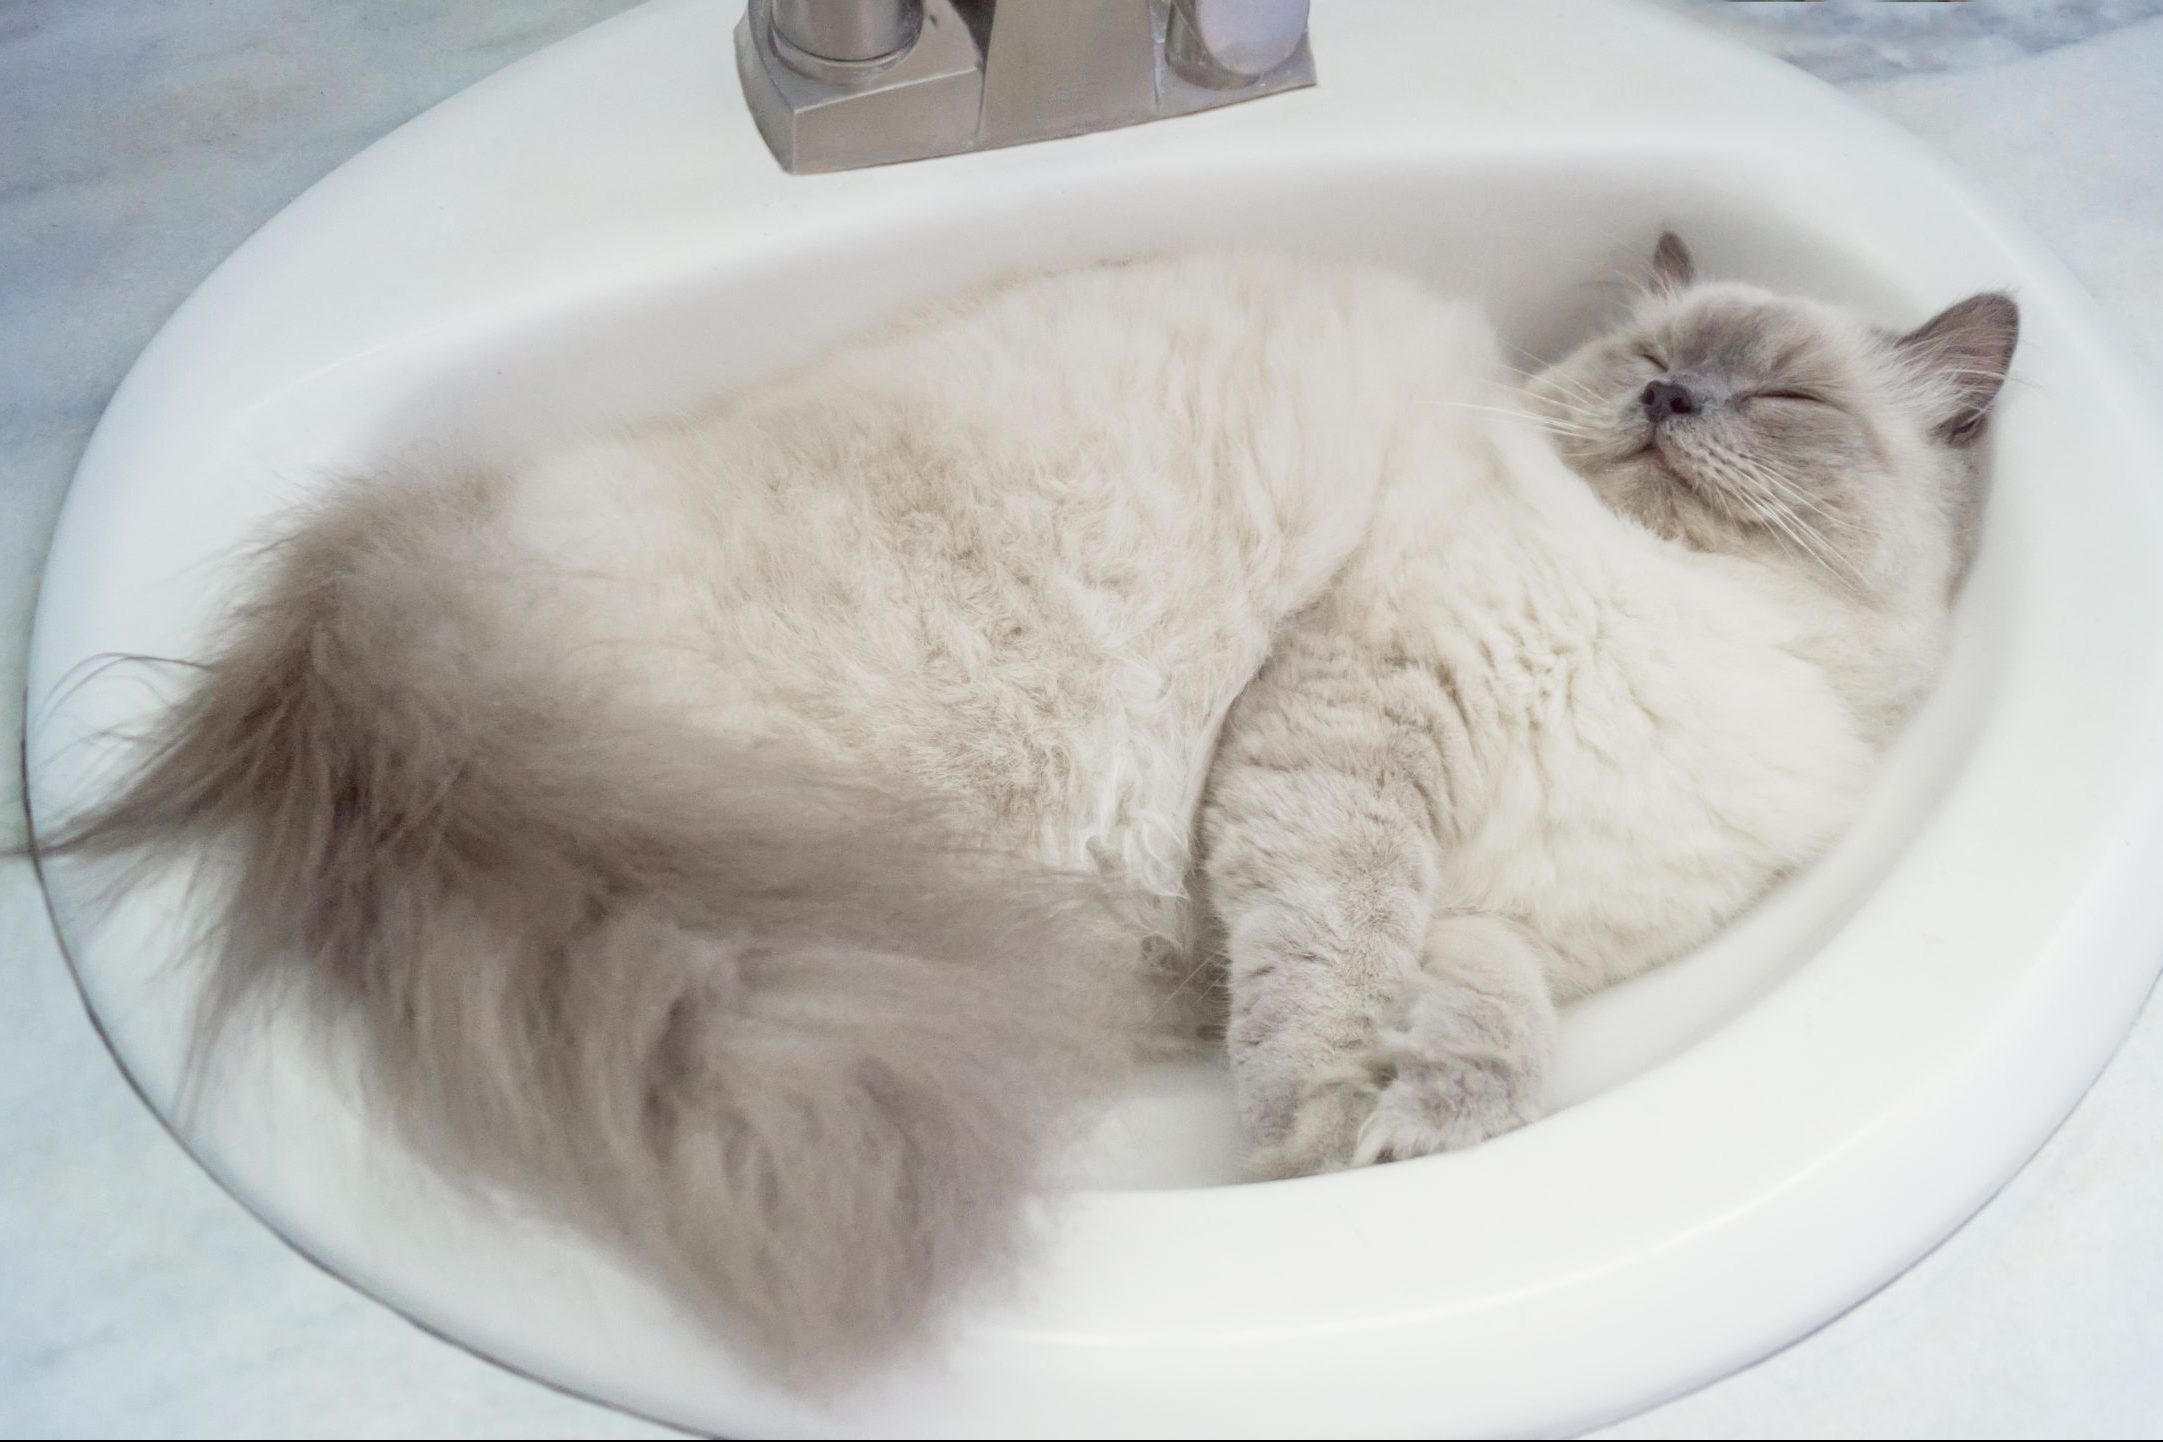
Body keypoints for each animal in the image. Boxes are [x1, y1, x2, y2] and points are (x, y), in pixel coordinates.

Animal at [42, 234, 2015, 1374]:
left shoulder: (1502, 920)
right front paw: (1315, 1126)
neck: (1706, 631)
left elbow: (1484, 1033)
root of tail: (381, 632)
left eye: (1776, 391)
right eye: (1642, 366)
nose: (1671, 399)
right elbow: (1327, 957)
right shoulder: (1352, 727)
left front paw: (1413, 1131)